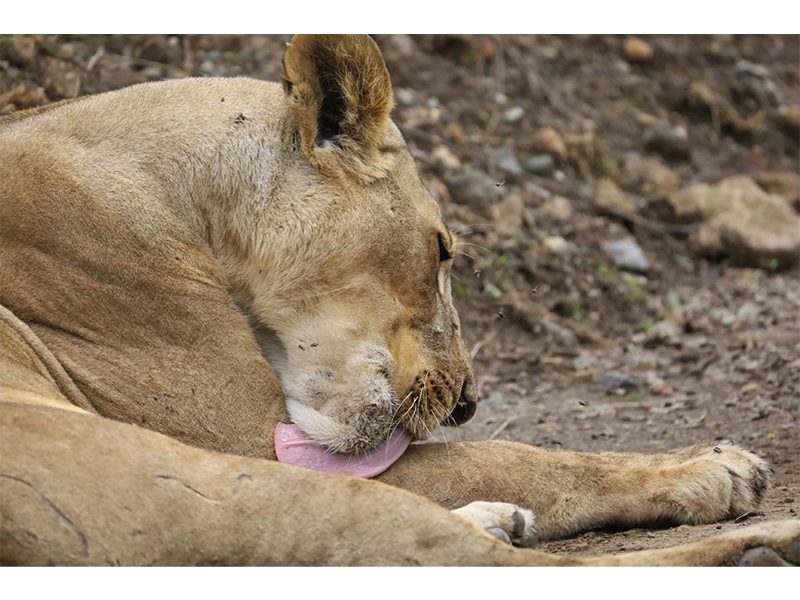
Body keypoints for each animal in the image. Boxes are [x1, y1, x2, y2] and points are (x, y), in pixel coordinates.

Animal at [0, 34, 798, 566]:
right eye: (442, 252)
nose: (467, 402)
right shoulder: (238, 438)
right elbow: (514, 457)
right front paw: (712, 467)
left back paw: (499, 522)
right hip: (200, 487)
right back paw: (765, 546)